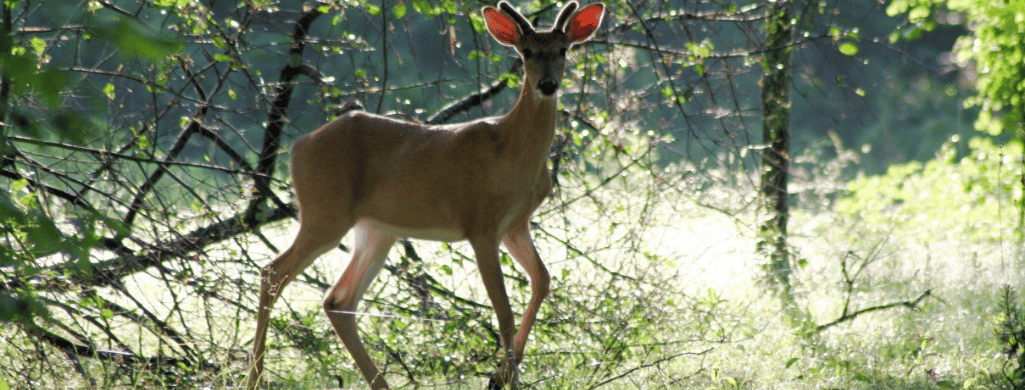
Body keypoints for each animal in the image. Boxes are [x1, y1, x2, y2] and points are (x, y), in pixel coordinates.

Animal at [244, 3, 602, 390]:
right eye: (527, 52)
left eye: (563, 50)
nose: (547, 85)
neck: (514, 152)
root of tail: (297, 147)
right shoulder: (481, 224)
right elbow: (504, 312)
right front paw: (507, 378)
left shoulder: (516, 224)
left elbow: (542, 279)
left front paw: (502, 374)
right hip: (325, 211)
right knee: (273, 273)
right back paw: (255, 377)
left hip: (375, 229)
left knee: (338, 299)